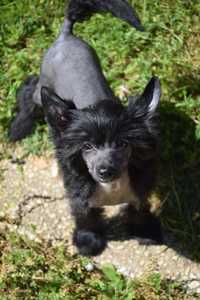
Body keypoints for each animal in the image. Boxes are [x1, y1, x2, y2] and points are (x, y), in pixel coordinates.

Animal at [9, 0, 162, 255]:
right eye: (87, 147)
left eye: (123, 144)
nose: (105, 170)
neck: (112, 187)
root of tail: (66, 35)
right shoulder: (80, 195)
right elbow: (86, 216)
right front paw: (88, 241)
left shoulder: (138, 189)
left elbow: (139, 207)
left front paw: (144, 230)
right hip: (43, 88)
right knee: (30, 88)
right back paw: (18, 127)